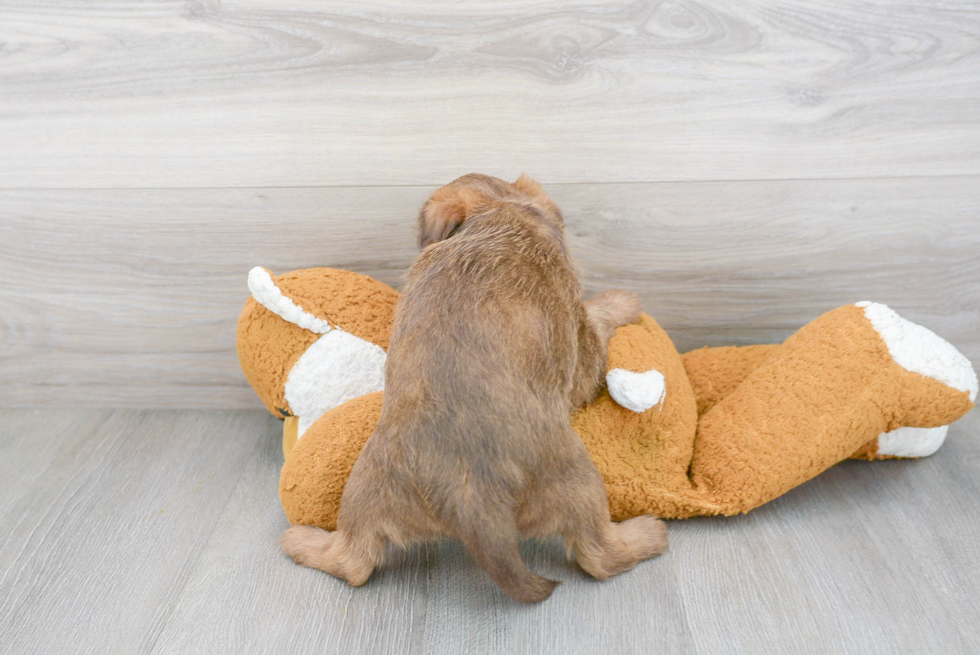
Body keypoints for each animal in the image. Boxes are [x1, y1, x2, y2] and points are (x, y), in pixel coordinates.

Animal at [280, 176, 668, 604]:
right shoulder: (582, 349)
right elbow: (597, 318)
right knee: (600, 556)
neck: (501, 212)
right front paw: (622, 301)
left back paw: (300, 541)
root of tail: (467, 497)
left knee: (351, 562)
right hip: (581, 481)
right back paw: (648, 533)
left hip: (365, 488)